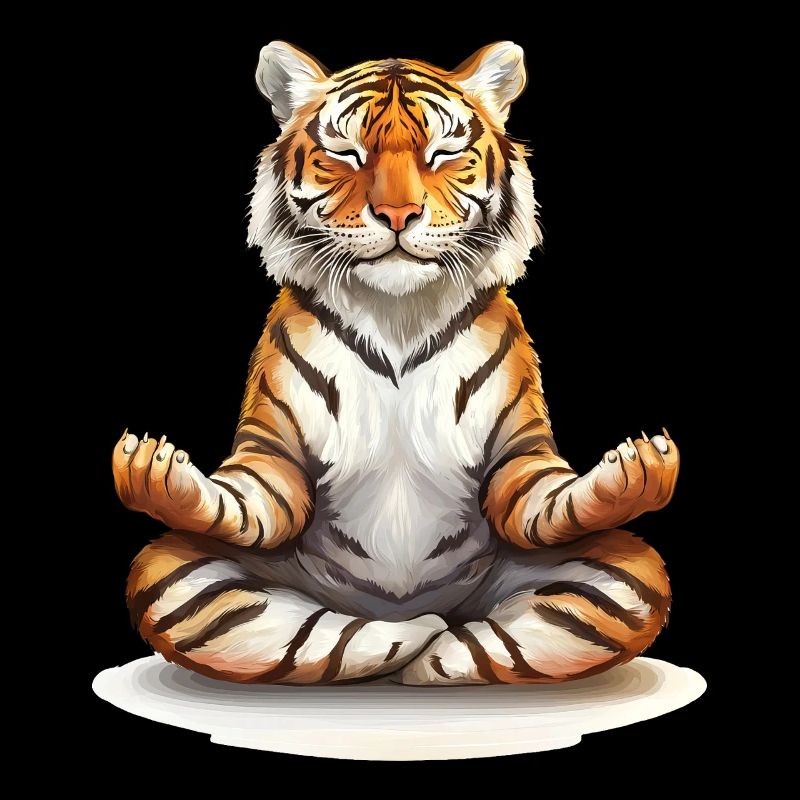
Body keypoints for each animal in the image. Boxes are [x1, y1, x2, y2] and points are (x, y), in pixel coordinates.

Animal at [114, 41, 678, 686]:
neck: (397, 313)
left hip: (624, 568)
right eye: (345, 153)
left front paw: (633, 468)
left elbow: (542, 497)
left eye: (444, 152)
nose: (398, 214)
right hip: (175, 567)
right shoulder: (272, 450)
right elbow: (250, 499)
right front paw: (157, 469)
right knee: (321, 636)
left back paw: (434, 650)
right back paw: (413, 635)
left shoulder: (519, 449)